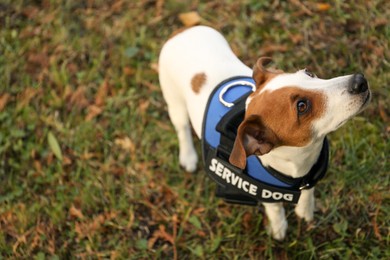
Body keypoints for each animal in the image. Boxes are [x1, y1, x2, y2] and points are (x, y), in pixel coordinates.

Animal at [158, 25, 372, 240]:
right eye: (302, 106)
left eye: (309, 73)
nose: (360, 81)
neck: (301, 160)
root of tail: (182, 31)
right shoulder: (268, 193)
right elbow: (275, 208)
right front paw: (279, 228)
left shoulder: (308, 178)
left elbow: (308, 193)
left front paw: (305, 211)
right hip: (174, 102)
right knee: (182, 128)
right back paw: (188, 156)